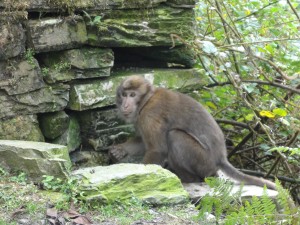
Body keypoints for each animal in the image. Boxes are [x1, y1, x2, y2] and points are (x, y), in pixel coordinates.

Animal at [109, 74, 276, 189]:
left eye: (132, 95)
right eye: (124, 95)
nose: (124, 105)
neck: (146, 101)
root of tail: (220, 159)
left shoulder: (150, 115)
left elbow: (157, 149)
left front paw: (144, 179)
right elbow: (145, 143)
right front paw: (121, 149)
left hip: (203, 162)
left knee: (174, 136)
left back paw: (188, 179)